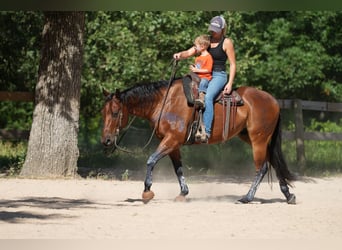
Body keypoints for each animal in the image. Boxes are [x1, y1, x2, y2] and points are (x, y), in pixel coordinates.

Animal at [100, 75, 296, 203]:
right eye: (103, 112)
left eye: (115, 112)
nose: (106, 141)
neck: (164, 102)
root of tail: (274, 101)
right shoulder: (173, 144)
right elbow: (178, 168)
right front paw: (183, 193)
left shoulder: (171, 140)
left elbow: (151, 160)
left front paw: (147, 191)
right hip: (253, 138)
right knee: (274, 163)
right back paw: (288, 195)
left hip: (258, 140)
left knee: (262, 168)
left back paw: (247, 197)